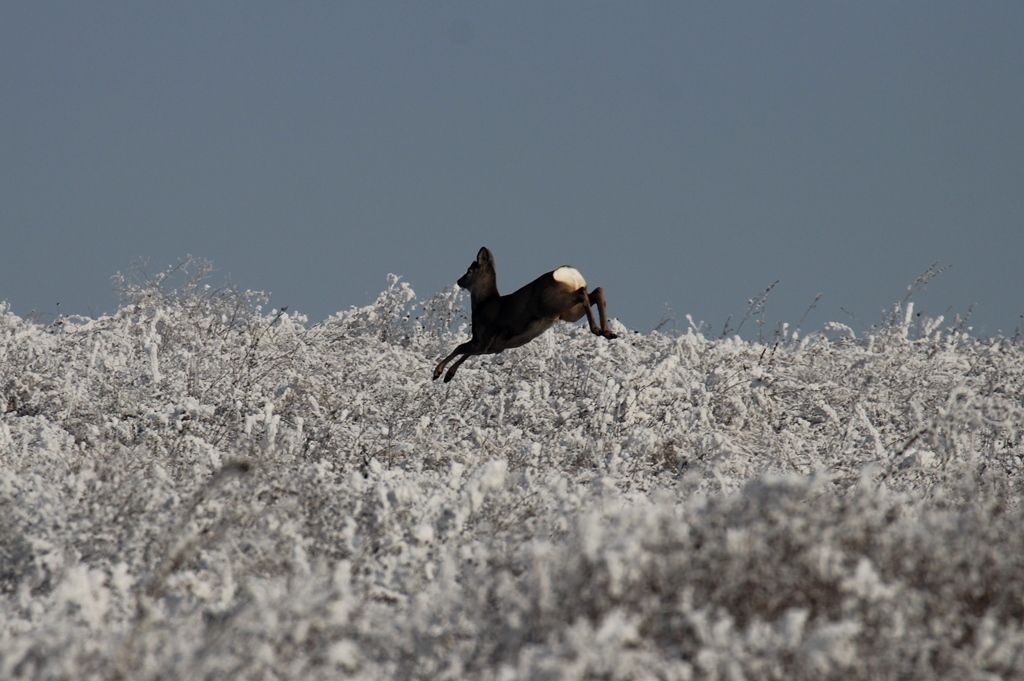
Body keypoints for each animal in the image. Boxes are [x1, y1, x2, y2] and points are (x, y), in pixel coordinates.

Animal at [432, 245, 614, 382]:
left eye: (469, 270)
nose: (459, 281)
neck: (483, 304)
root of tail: (569, 273)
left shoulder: (484, 338)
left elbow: (460, 348)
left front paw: (439, 372)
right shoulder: (493, 346)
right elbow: (466, 353)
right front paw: (448, 375)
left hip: (554, 303)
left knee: (583, 294)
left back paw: (597, 329)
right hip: (568, 313)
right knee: (596, 291)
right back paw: (607, 332)